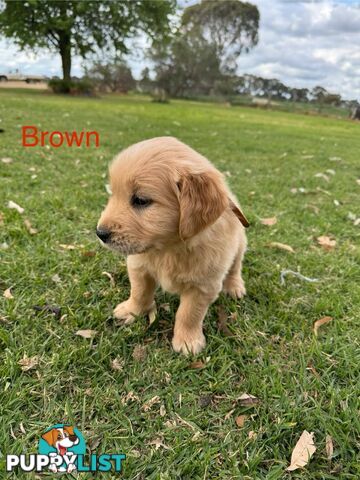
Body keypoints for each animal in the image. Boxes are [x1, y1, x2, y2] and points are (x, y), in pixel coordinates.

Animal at [97, 137, 249, 354]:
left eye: (141, 200)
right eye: (112, 194)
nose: (100, 233)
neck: (168, 248)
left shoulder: (204, 285)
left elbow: (189, 314)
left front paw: (188, 341)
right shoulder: (139, 266)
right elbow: (139, 293)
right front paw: (131, 310)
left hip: (239, 246)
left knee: (235, 268)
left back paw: (234, 286)